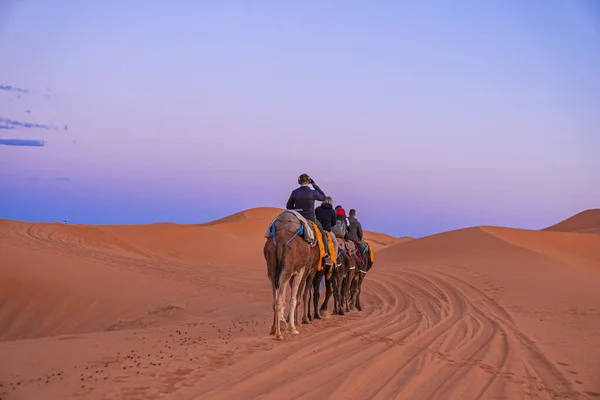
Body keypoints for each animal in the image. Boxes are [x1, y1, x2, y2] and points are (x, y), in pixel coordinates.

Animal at [264, 211, 322, 340]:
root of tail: (280, 240)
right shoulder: (300, 271)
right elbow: (294, 299)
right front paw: (292, 328)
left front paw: (283, 325)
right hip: (288, 270)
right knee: (280, 301)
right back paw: (279, 334)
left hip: (272, 269)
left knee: (275, 300)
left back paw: (274, 329)